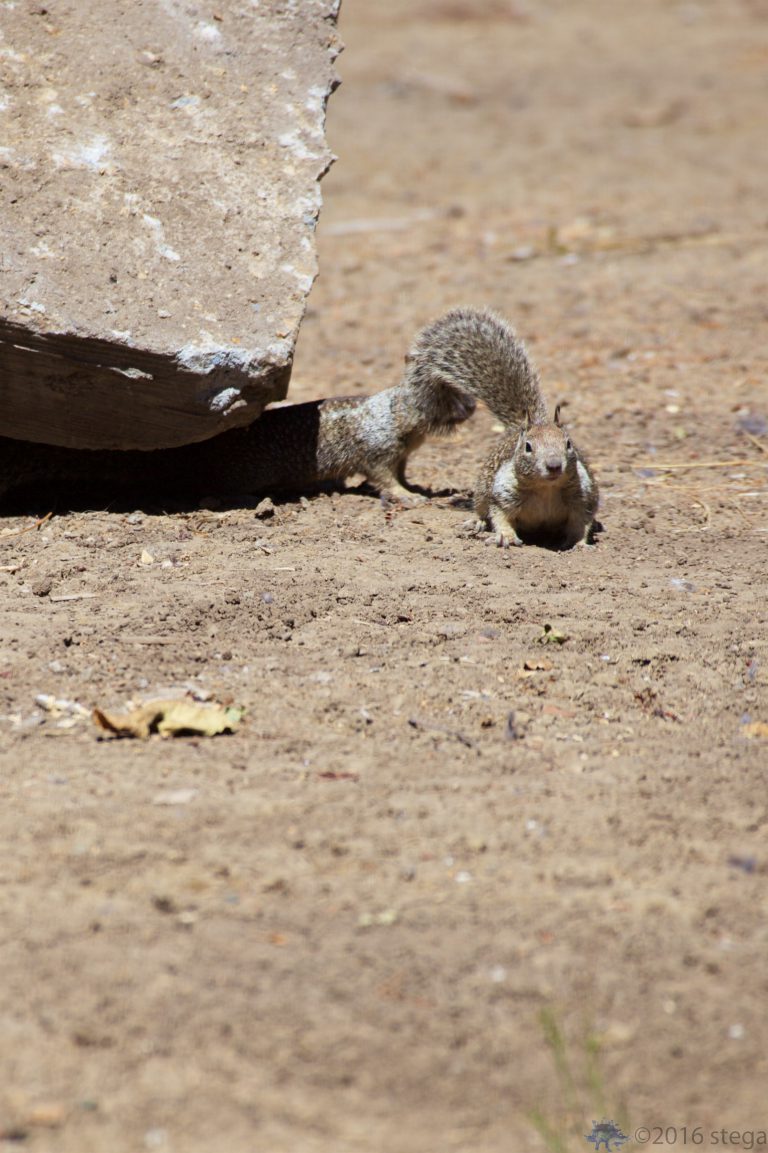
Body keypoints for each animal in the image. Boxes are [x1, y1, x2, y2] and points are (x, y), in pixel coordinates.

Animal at [0, 308, 597, 546]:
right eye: (449, 398)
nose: (473, 412)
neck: (395, 414)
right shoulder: (378, 453)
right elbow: (384, 482)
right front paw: (411, 499)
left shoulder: (399, 450)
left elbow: (400, 473)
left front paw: (420, 488)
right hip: (230, 476)